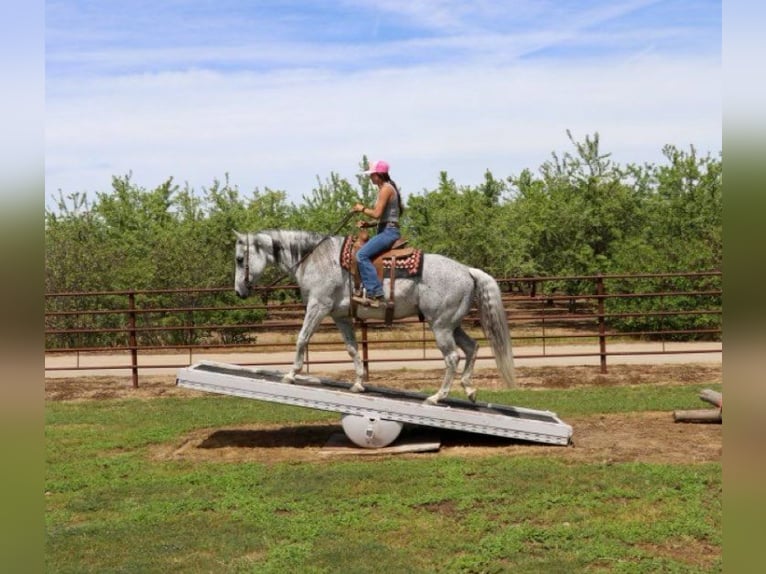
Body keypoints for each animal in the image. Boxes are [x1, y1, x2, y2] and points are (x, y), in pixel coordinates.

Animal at [234, 230, 516, 404]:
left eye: (239, 259)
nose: (239, 291)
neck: (315, 259)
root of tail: (468, 271)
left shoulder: (318, 305)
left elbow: (302, 338)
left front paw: (291, 374)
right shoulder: (340, 316)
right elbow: (352, 348)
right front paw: (359, 383)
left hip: (441, 326)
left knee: (452, 357)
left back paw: (437, 397)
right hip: (451, 325)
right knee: (472, 347)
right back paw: (469, 389)